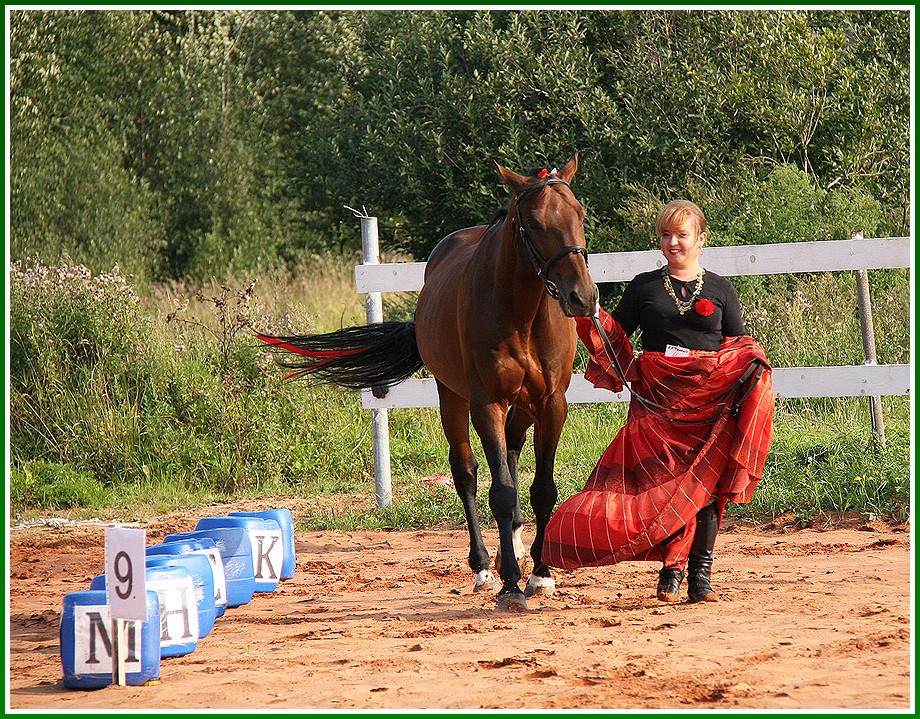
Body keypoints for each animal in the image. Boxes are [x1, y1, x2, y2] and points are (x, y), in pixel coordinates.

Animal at [262, 156, 600, 608]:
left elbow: (542, 489)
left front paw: (542, 573)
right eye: (533, 222)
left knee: (511, 450)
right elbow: (500, 492)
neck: (522, 311)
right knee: (467, 473)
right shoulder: (486, 403)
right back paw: (483, 567)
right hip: (451, 396)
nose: (583, 296)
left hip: (524, 404)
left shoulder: (551, 403)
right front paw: (510, 583)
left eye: (580, 214)